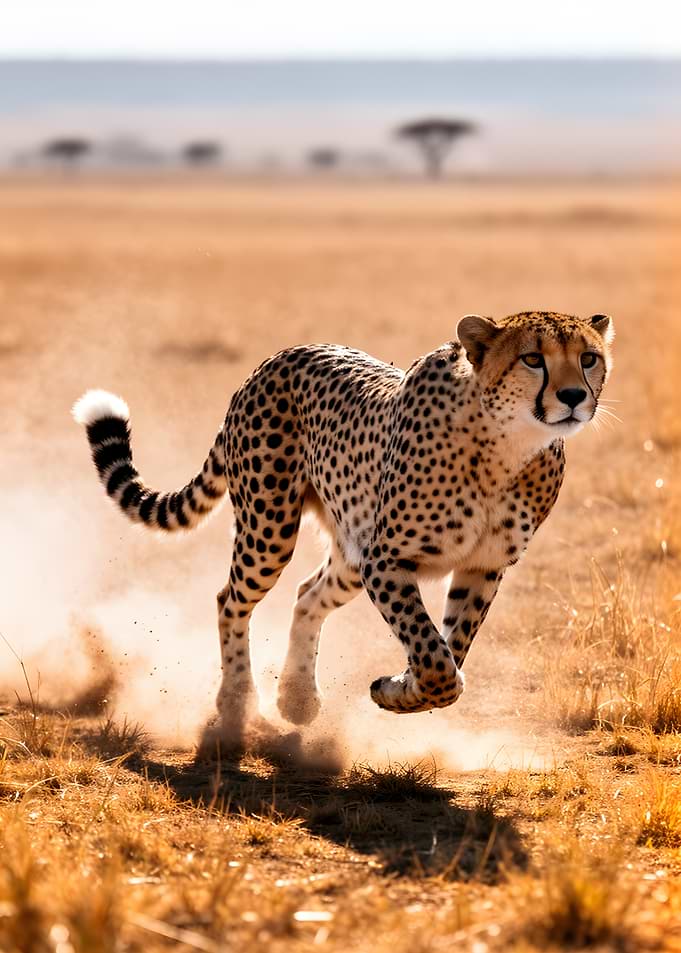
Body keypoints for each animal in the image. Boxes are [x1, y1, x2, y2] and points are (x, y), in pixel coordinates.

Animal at [73, 310, 614, 733]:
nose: (572, 396)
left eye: (588, 358)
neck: (507, 446)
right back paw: (237, 701)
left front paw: (399, 688)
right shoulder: (387, 558)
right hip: (271, 530)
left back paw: (296, 700)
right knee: (231, 598)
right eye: (533, 359)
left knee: (306, 594)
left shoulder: (482, 566)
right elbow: (434, 654)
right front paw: (408, 683)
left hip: (350, 549)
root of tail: (276, 358)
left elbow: (452, 646)